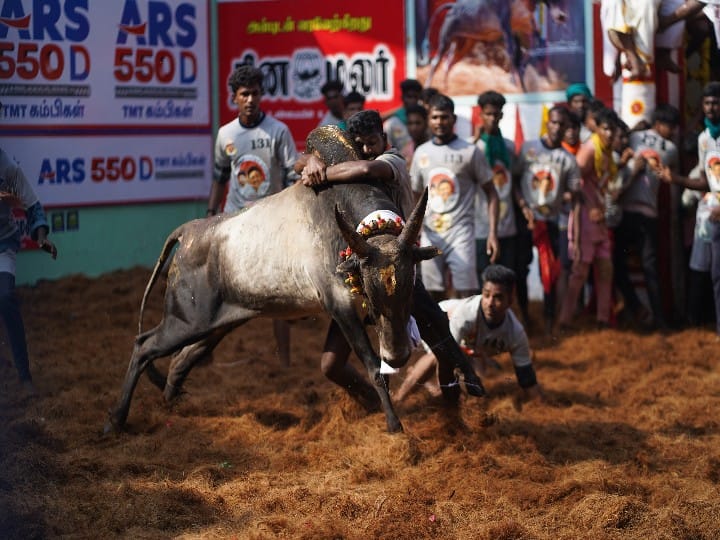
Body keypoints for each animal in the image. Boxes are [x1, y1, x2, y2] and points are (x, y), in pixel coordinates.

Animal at [106, 126, 462, 434]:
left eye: (405, 292)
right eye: (371, 298)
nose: (398, 356)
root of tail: (189, 231)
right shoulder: (342, 309)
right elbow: (375, 369)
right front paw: (394, 425)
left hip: (214, 325)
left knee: (180, 360)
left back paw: (169, 406)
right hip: (186, 320)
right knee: (144, 346)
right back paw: (116, 420)